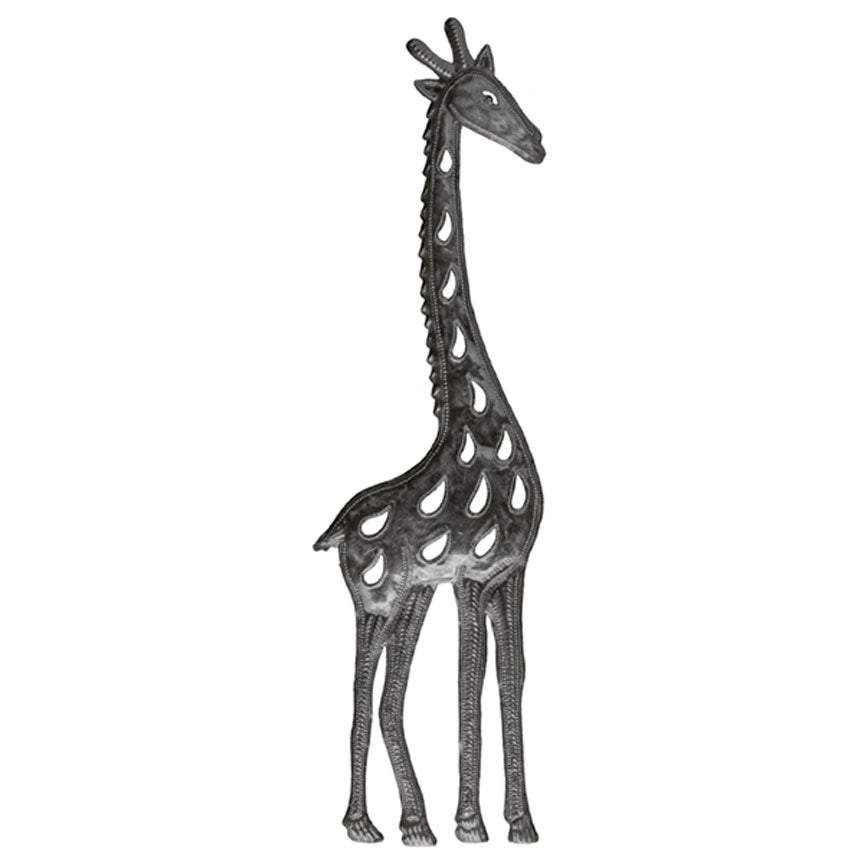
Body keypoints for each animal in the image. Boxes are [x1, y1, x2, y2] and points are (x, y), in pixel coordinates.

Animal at [314, 17, 545, 846]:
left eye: (505, 85)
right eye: (484, 97)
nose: (537, 143)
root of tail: (335, 531)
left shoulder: (510, 569)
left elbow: (510, 677)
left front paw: (520, 823)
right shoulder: (473, 574)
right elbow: (470, 682)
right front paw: (475, 823)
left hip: (409, 596)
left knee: (388, 697)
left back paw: (412, 822)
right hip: (372, 600)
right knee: (359, 694)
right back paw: (363, 824)